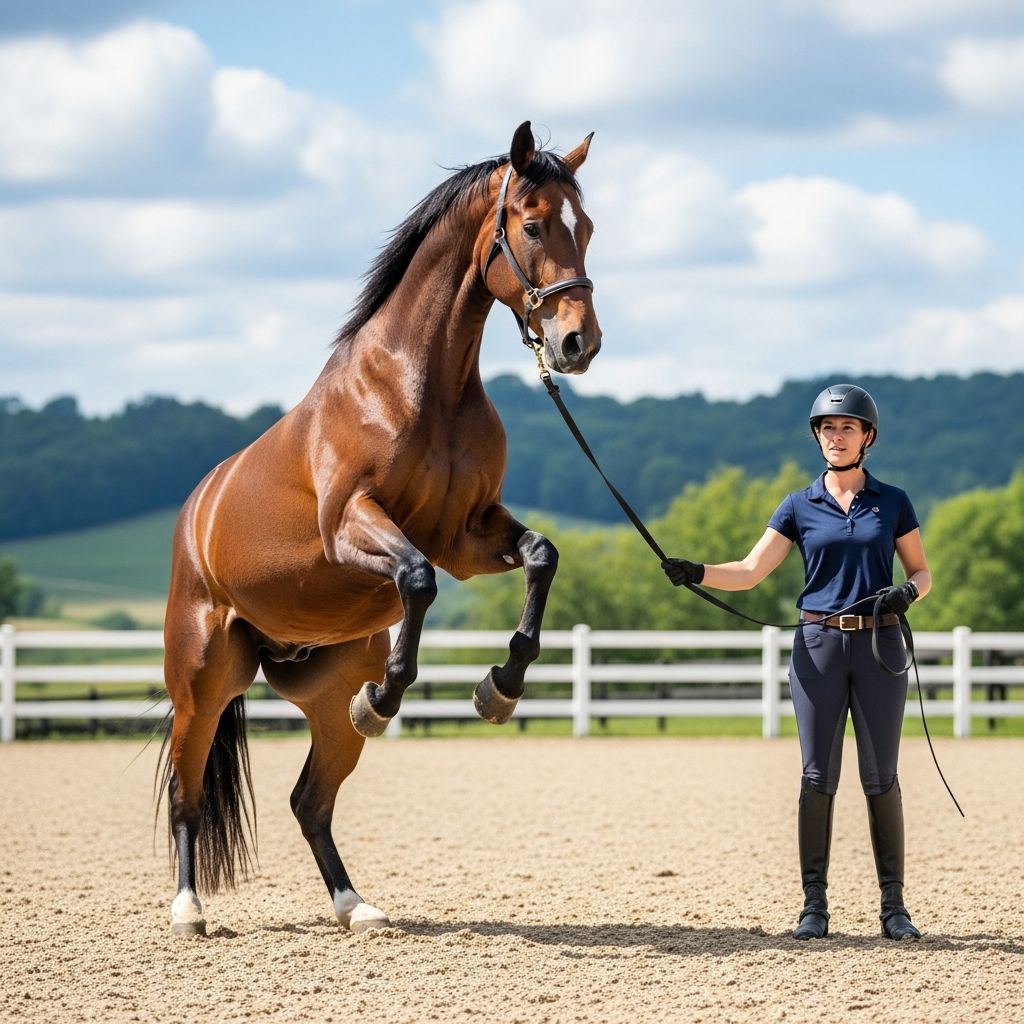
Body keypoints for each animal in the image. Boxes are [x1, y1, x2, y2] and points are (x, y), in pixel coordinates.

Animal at [157, 121, 602, 936]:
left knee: (310, 800)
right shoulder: (357, 529)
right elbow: (416, 582)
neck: (418, 384)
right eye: (532, 225)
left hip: (323, 701)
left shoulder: (467, 534)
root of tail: (196, 509)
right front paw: (392, 694)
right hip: (201, 684)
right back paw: (188, 910)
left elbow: (541, 556)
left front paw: (500, 687)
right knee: (187, 794)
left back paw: (354, 905)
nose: (578, 344)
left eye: (584, 227)